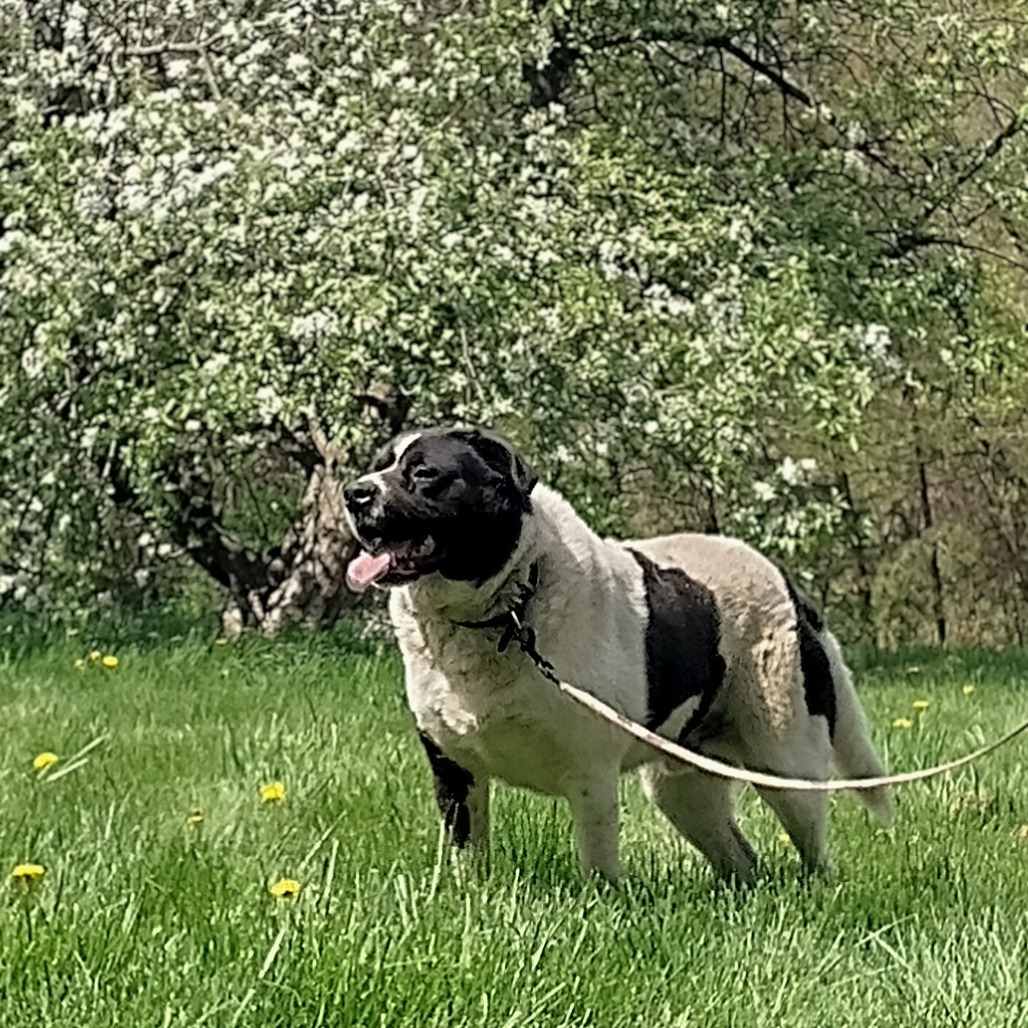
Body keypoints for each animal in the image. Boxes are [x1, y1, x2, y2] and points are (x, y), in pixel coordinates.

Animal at [345, 425, 892, 884]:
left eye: (424, 473)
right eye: (378, 465)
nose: (354, 493)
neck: (509, 605)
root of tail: (794, 594)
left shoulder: (591, 771)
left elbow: (598, 859)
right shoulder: (453, 766)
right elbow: (467, 850)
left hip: (785, 760)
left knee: (813, 848)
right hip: (683, 788)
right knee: (740, 857)